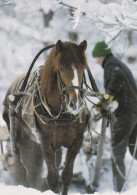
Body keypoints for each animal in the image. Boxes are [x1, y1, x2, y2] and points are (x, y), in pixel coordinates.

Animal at [2, 40, 90, 195]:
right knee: (26, 170)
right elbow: (52, 177)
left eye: (82, 68)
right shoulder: (45, 142)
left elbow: (66, 175)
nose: (75, 103)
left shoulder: (77, 141)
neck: (62, 115)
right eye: (61, 68)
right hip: (21, 141)